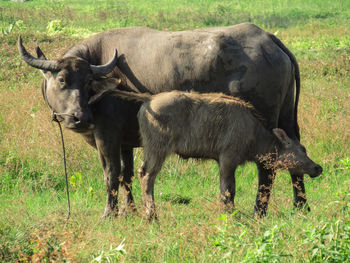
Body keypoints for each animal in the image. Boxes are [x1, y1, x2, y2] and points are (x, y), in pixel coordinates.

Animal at [108, 89, 322, 220]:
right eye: (300, 150)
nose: (317, 168)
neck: (254, 135)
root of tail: (148, 101)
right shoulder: (228, 158)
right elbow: (228, 190)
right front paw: (229, 214)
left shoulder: (223, 161)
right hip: (157, 148)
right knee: (146, 175)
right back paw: (152, 215)